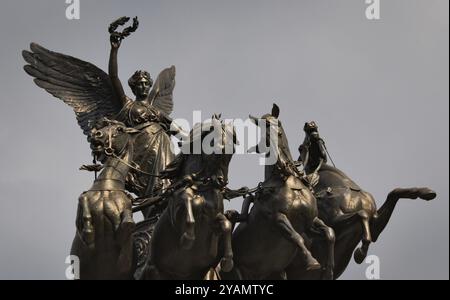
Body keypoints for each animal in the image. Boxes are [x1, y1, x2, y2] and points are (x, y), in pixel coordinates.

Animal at [70, 118, 141, 280]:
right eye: (104, 126)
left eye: (120, 129)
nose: (96, 134)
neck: (107, 190)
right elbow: (83, 200)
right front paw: (88, 230)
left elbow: (127, 222)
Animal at [145, 114, 241, 278]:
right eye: (215, 147)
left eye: (232, 151)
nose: (221, 182)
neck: (201, 188)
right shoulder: (178, 209)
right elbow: (189, 203)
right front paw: (187, 239)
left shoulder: (215, 219)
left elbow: (226, 224)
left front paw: (227, 261)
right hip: (154, 271)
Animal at [224, 104, 334, 280]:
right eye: (264, 136)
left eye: (279, 126)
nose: (283, 164)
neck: (286, 182)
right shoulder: (277, 218)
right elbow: (296, 237)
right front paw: (311, 261)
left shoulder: (310, 221)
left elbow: (330, 233)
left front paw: (329, 270)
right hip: (236, 272)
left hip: (276, 274)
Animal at [286, 121, 438, 278]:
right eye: (300, 147)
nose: (310, 124)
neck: (344, 188)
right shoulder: (334, 220)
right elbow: (361, 214)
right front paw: (360, 253)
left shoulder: (375, 225)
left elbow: (394, 193)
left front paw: (426, 193)